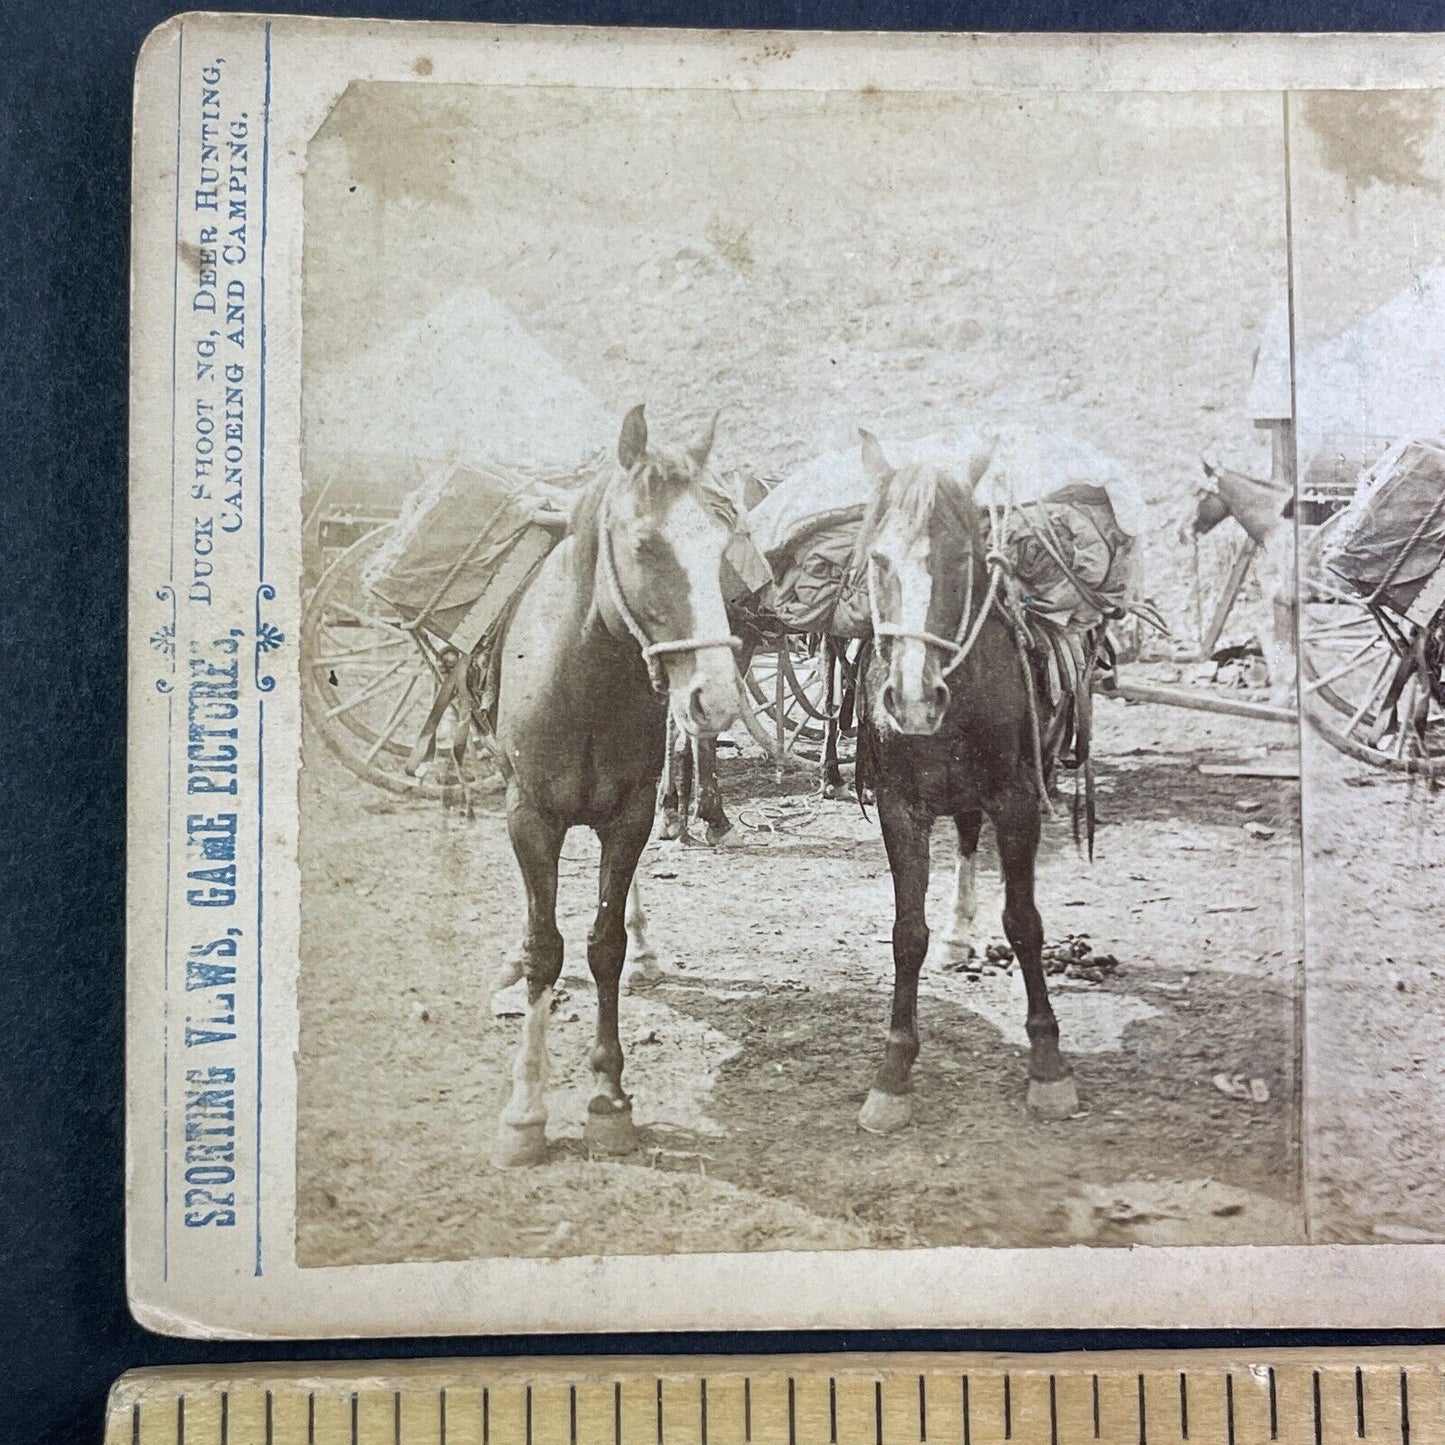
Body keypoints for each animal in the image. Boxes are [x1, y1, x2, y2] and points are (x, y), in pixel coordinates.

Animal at [494, 404, 745, 1161]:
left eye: (722, 542)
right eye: (645, 545)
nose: (717, 698)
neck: (584, 681)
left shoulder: (629, 816)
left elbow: (605, 945)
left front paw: (608, 1098)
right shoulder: (530, 817)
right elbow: (543, 947)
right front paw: (526, 1110)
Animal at [849, 433, 1080, 1132]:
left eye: (959, 558)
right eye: (878, 558)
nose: (914, 699)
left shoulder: (1018, 802)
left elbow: (1024, 922)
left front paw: (1048, 1064)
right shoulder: (900, 808)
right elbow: (907, 934)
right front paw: (893, 1073)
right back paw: (956, 936)